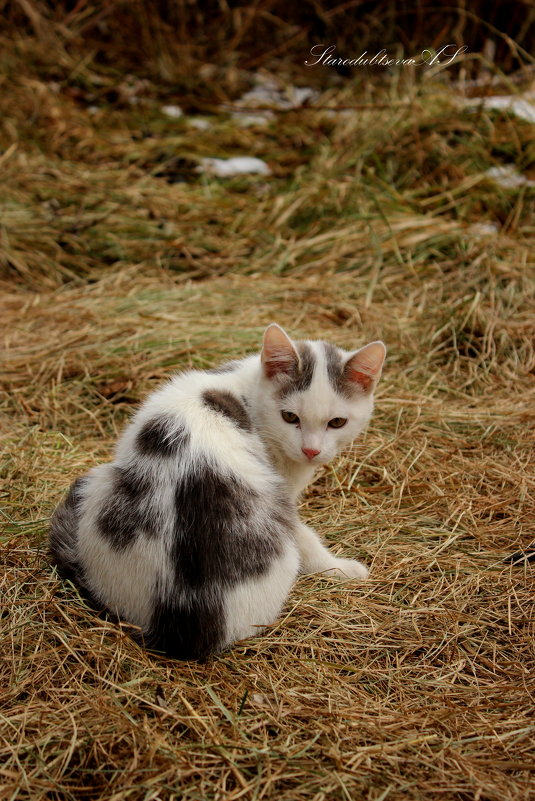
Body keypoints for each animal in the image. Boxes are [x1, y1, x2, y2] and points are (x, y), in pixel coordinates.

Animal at [49, 322, 386, 660]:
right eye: (290, 417)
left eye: (337, 422)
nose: (311, 450)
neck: (250, 391)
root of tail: (184, 619)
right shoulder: (284, 494)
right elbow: (305, 538)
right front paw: (340, 569)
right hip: (97, 480)